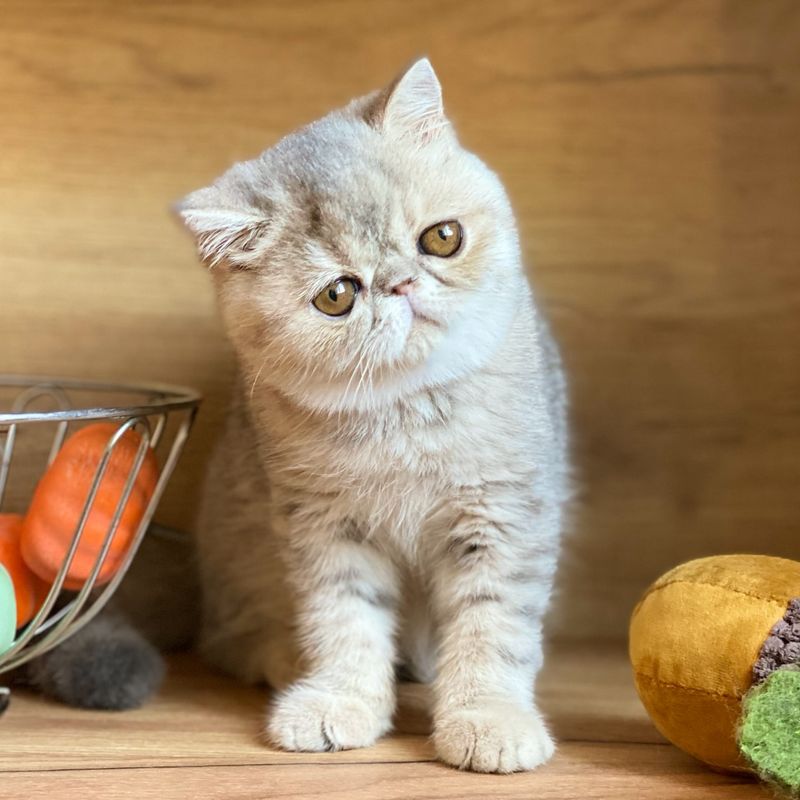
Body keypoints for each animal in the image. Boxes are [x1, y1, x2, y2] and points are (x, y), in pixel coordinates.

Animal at [31, 57, 568, 776]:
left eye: (442, 238)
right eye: (338, 295)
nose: (400, 284)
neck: (404, 409)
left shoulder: (504, 514)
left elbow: (493, 625)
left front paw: (487, 715)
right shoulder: (325, 525)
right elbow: (345, 620)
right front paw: (341, 699)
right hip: (241, 538)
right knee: (226, 638)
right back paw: (286, 660)